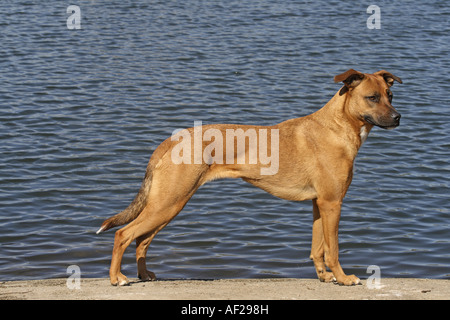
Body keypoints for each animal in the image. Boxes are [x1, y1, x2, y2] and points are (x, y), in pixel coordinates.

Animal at [96, 69, 402, 284]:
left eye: (390, 95)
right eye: (372, 97)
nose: (398, 117)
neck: (336, 127)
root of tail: (171, 141)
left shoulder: (319, 204)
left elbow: (318, 248)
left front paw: (325, 277)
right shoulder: (332, 203)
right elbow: (333, 249)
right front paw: (343, 278)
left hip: (167, 205)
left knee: (141, 240)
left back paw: (143, 275)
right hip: (169, 202)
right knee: (124, 234)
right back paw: (116, 278)